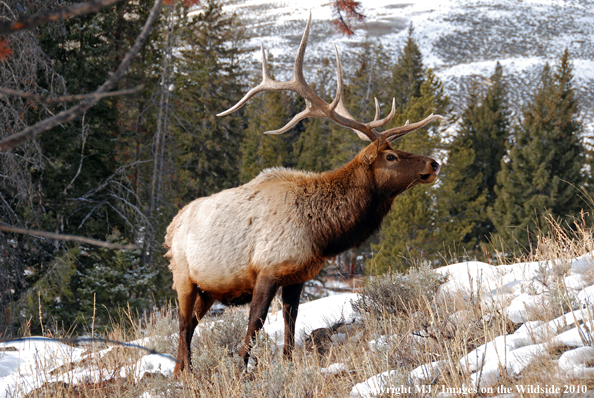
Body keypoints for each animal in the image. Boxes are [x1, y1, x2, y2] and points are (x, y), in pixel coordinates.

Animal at [164, 15, 442, 374]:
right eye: (391, 156)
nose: (433, 163)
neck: (322, 233)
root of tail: (171, 226)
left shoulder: (297, 275)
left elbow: (290, 325)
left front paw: (287, 364)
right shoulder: (267, 268)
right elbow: (255, 324)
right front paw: (241, 370)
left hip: (209, 288)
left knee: (192, 325)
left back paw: (181, 371)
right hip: (183, 276)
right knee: (184, 325)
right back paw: (183, 373)